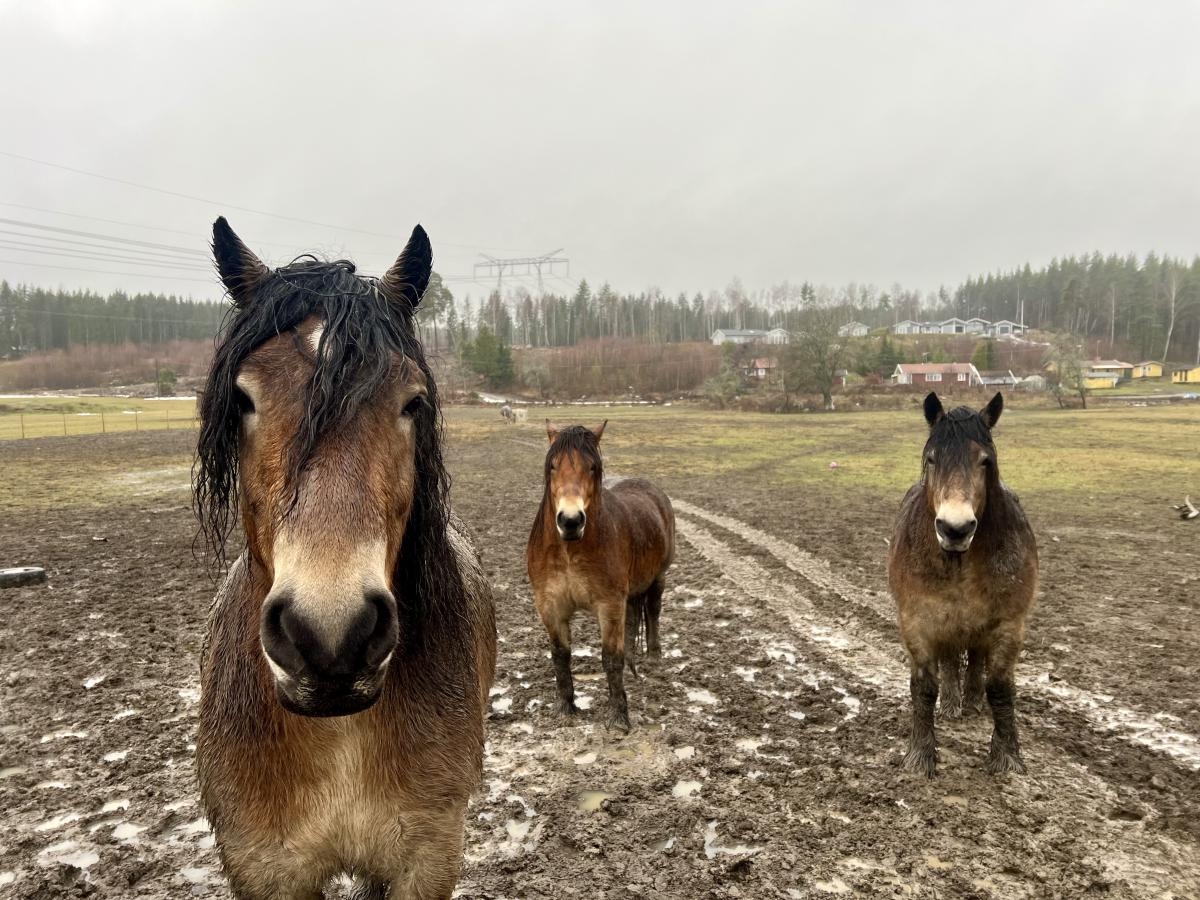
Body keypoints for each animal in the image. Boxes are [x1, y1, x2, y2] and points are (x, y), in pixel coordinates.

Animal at [525, 422, 676, 734]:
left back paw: (653, 657)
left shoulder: (608, 604)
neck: (570, 551)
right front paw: (565, 708)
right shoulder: (550, 606)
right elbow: (560, 655)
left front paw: (618, 717)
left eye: (592, 467)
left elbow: (610, 658)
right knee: (632, 621)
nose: (570, 520)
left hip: (658, 578)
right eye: (553, 466)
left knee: (653, 612)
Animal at [888, 396, 1036, 782]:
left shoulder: (1008, 624)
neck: (959, 562)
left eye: (985, 461)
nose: (955, 529)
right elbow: (924, 686)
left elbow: (1000, 688)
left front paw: (1007, 757)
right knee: (952, 660)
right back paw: (953, 702)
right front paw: (920, 756)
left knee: (975, 661)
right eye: (932, 459)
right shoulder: (918, 622)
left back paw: (970, 700)